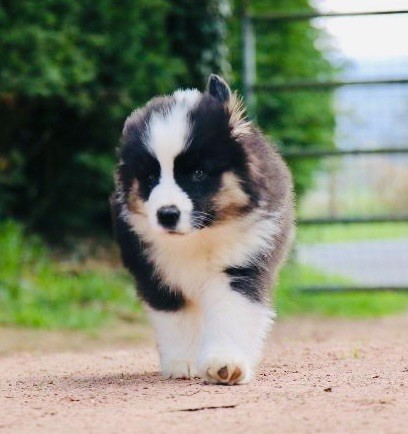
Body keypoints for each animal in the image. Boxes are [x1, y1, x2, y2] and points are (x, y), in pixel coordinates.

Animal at [111, 75, 294, 386]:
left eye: (197, 173)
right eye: (150, 177)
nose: (167, 214)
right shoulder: (155, 273)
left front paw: (225, 364)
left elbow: (230, 312)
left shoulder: (242, 264)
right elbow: (178, 318)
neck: (199, 236)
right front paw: (184, 362)